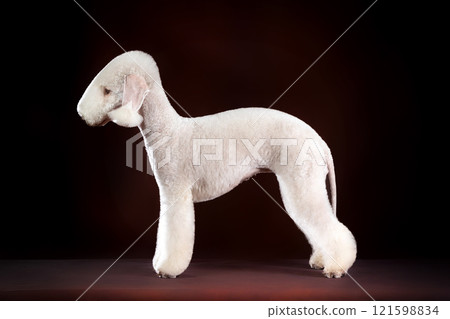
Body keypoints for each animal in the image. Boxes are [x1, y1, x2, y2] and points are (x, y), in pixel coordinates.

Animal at [78, 50, 358, 280]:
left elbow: (173, 233)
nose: (81, 113)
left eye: (106, 90)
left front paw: (167, 269)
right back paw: (322, 260)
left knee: (328, 226)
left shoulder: (176, 192)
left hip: (302, 181)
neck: (168, 129)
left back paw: (336, 267)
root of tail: (320, 142)